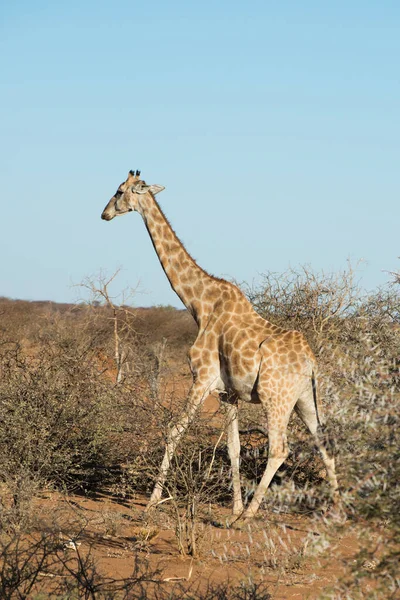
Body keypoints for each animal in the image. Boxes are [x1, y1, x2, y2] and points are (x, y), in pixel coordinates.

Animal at [101, 170, 340, 524]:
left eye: (119, 191)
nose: (104, 214)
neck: (199, 304)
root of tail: (310, 362)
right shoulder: (230, 393)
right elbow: (234, 448)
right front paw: (234, 507)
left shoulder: (202, 378)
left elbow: (174, 431)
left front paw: (152, 502)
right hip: (306, 399)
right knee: (324, 443)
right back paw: (338, 512)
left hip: (276, 397)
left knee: (280, 448)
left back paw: (251, 515)